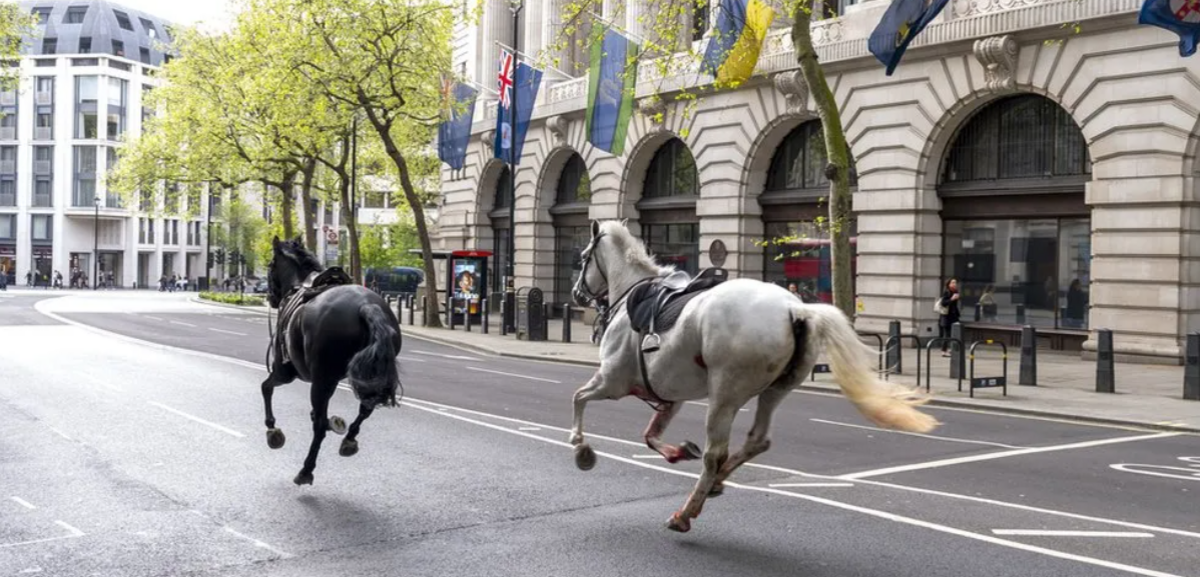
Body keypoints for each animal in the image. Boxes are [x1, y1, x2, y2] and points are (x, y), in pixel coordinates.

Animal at [264, 236, 403, 484]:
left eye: (271, 265)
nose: (270, 297)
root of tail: (366, 306)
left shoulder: (284, 371)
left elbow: (266, 388)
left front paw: (272, 430)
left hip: (320, 380)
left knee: (319, 426)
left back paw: (306, 470)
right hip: (367, 375)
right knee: (365, 408)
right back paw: (349, 439)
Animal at [568, 219, 936, 530]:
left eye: (583, 258)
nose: (576, 294)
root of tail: (795, 307)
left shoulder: (612, 381)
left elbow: (579, 398)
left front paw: (581, 448)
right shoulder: (670, 394)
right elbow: (650, 434)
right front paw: (677, 451)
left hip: (725, 394)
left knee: (715, 453)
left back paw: (686, 512)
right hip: (775, 389)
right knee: (757, 440)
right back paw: (716, 483)